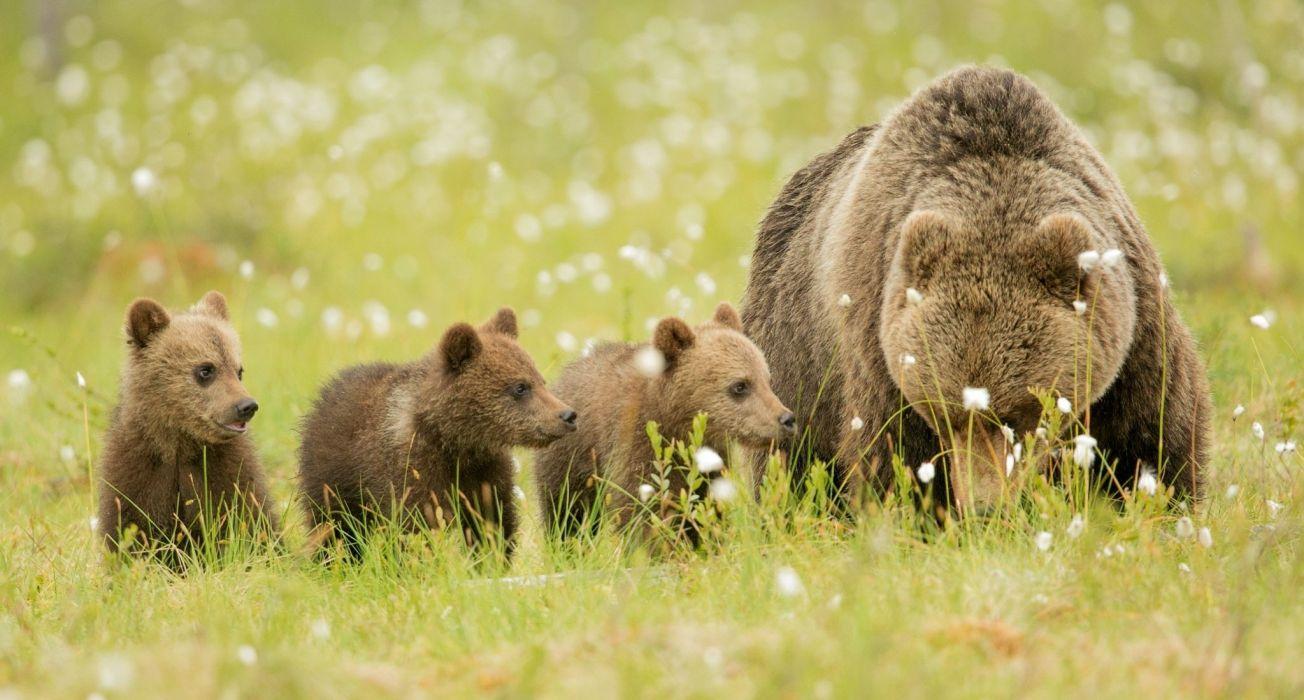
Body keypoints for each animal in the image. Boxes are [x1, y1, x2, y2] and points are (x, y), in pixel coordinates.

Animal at [97, 291, 279, 564]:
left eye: (239, 370)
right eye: (205, 369)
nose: (246, 406)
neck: (181, 444)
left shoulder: (226, 473)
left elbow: (250, 522)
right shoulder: (138, 473)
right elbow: (131, 528)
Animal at [297, 308, 575, 559]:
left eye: (540, 381)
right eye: (520, 387)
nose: (567, 415)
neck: (454, 441)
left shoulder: (485, 472)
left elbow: (492, 523)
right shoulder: (412, 471)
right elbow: (416, 527)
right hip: (334, 478)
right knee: (334, 528)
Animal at [533, 302, 796, 540]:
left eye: (767, 379)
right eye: (740, 386)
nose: (786, 419)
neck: (676, 425)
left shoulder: (710, 464)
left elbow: (708, 509)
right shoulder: (636, 446)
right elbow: (640, 512)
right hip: (570, 461)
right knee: (567, 513)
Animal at [741, 66, 1211, 515]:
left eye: (1018, 415)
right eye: (945, 415)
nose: (986, 506)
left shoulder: (1135, 331)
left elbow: (1151, 434)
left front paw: (1154, 499)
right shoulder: (877, 341)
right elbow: (891, 453)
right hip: (795, 350)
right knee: (792, 456)